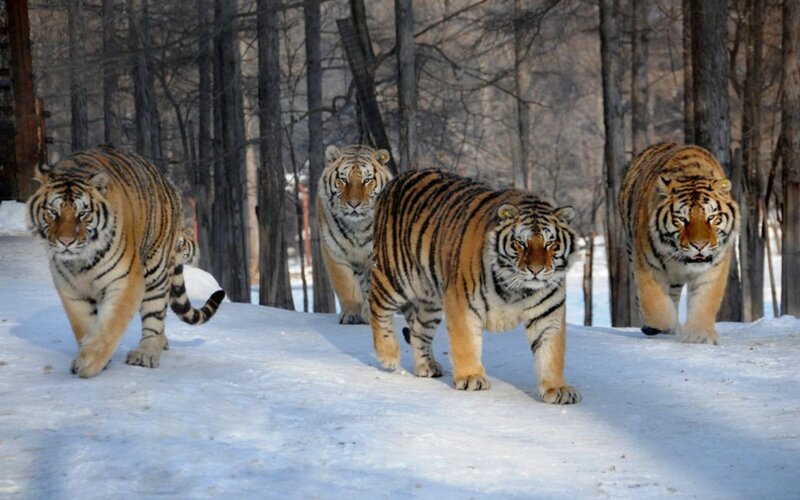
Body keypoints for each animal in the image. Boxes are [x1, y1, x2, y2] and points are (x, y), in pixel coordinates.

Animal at [26, 146, 225, 378]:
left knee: (154, 316)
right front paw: (88, 355)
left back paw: (147, 352)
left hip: (155, 272)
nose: (66, 242)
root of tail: (167, 183)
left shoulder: (125, 280)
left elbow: (111, 324)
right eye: (53, 212)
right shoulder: (70, 288)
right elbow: (84, 324)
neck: (81, 263)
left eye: (82, 214)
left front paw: (90, 362)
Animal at [317, 144, 393, 324]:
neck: (358, 226)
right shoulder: (334, 252)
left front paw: (369, 313)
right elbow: (345, 285)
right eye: (344, 180)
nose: (354, 204)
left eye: (367, 180)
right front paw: (351, 313)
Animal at [369, 169, 581, 405]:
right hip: (395, 273)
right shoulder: (461, 303)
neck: (517, 289)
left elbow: (551, 353)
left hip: (430, 299)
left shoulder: (548, 314)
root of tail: (398, 178)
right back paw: (387, 355)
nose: (536, 269)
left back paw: (427, 365)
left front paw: (557, 389)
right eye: (520, 243)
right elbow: (465, 343)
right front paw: (471, 378)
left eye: (550, 243)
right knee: (376, 303)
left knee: (419, 329)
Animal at [619, 142, 739, 345]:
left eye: (711, 218)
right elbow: (654, 303)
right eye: (682, 220)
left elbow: (705, 300)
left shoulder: (714, 268)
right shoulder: (646, 265)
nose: (700, 245)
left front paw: (700, 334)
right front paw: (661, 325)